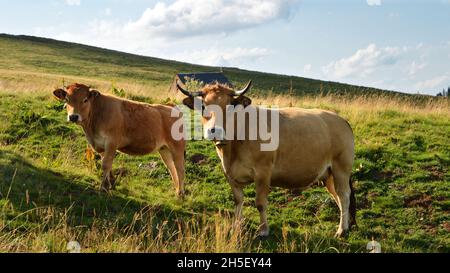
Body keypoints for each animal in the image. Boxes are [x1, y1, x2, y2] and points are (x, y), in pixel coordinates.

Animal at [51, 83, 185, 196]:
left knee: (180, 169)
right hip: (164, 149)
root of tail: (171, 107)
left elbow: (106, 164)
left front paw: (103, 187)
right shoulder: (100, 145)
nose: (73, 116)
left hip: (177, 148)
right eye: (67, 99)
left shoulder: (111, 142)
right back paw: (176, 190)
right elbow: (106, 163)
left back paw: (180, 194)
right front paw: (111, 183)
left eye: (85, 100)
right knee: (171, 168)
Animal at [178, 80, 356, 236]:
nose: (215, 130)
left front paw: (263, 230)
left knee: (344, 196)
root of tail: (341, 119)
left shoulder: (263, 173)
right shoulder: (229, 173)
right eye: (203, 106)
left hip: (341, 168)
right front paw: (236, 225)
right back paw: (346, 226)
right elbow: (238, 200)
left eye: (229, 107)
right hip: (329, 175)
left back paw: (341, 230)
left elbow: (260, 203)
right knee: (338, 198)